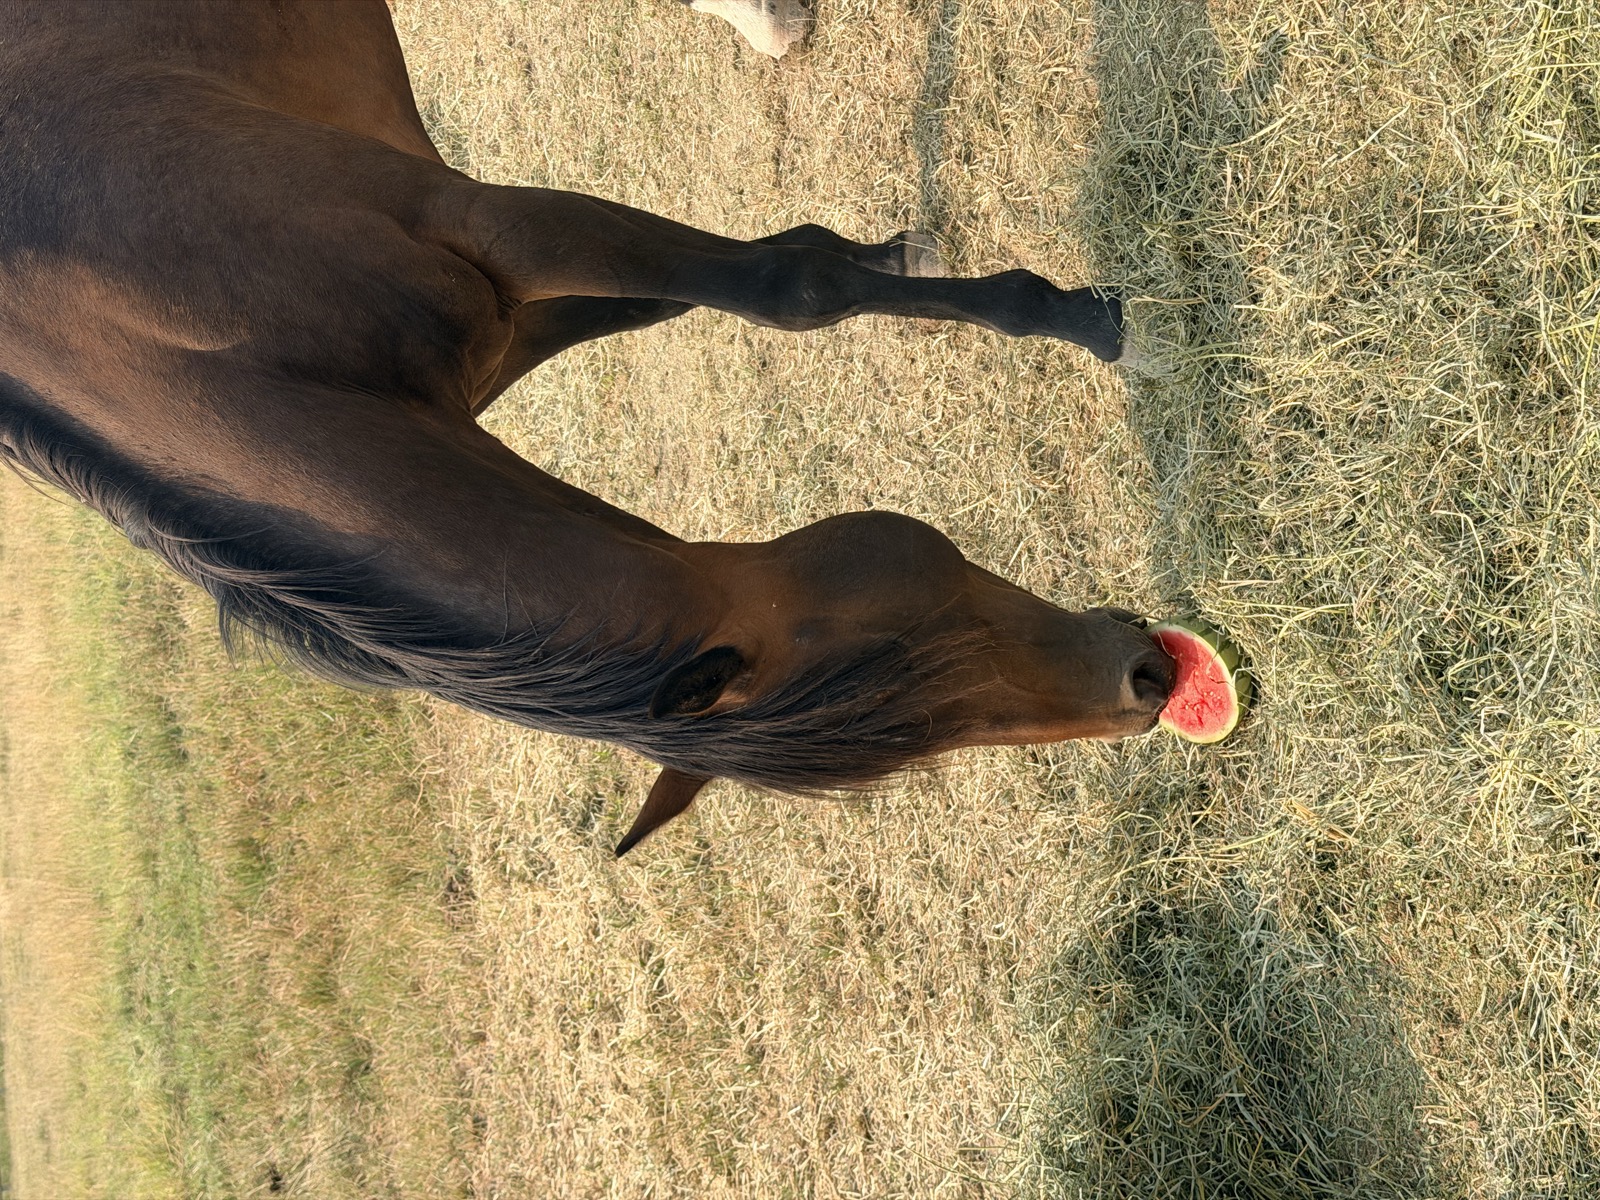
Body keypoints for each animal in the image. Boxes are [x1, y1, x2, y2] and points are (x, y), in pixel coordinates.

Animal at [0, 1, 1173, 855]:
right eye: (908, 657)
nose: (1148, 683)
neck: (155, 325)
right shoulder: (501, 297)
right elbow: (767, 280)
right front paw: (1006, 293)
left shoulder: (485, 229)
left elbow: (768, 283)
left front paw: (1079, 320)